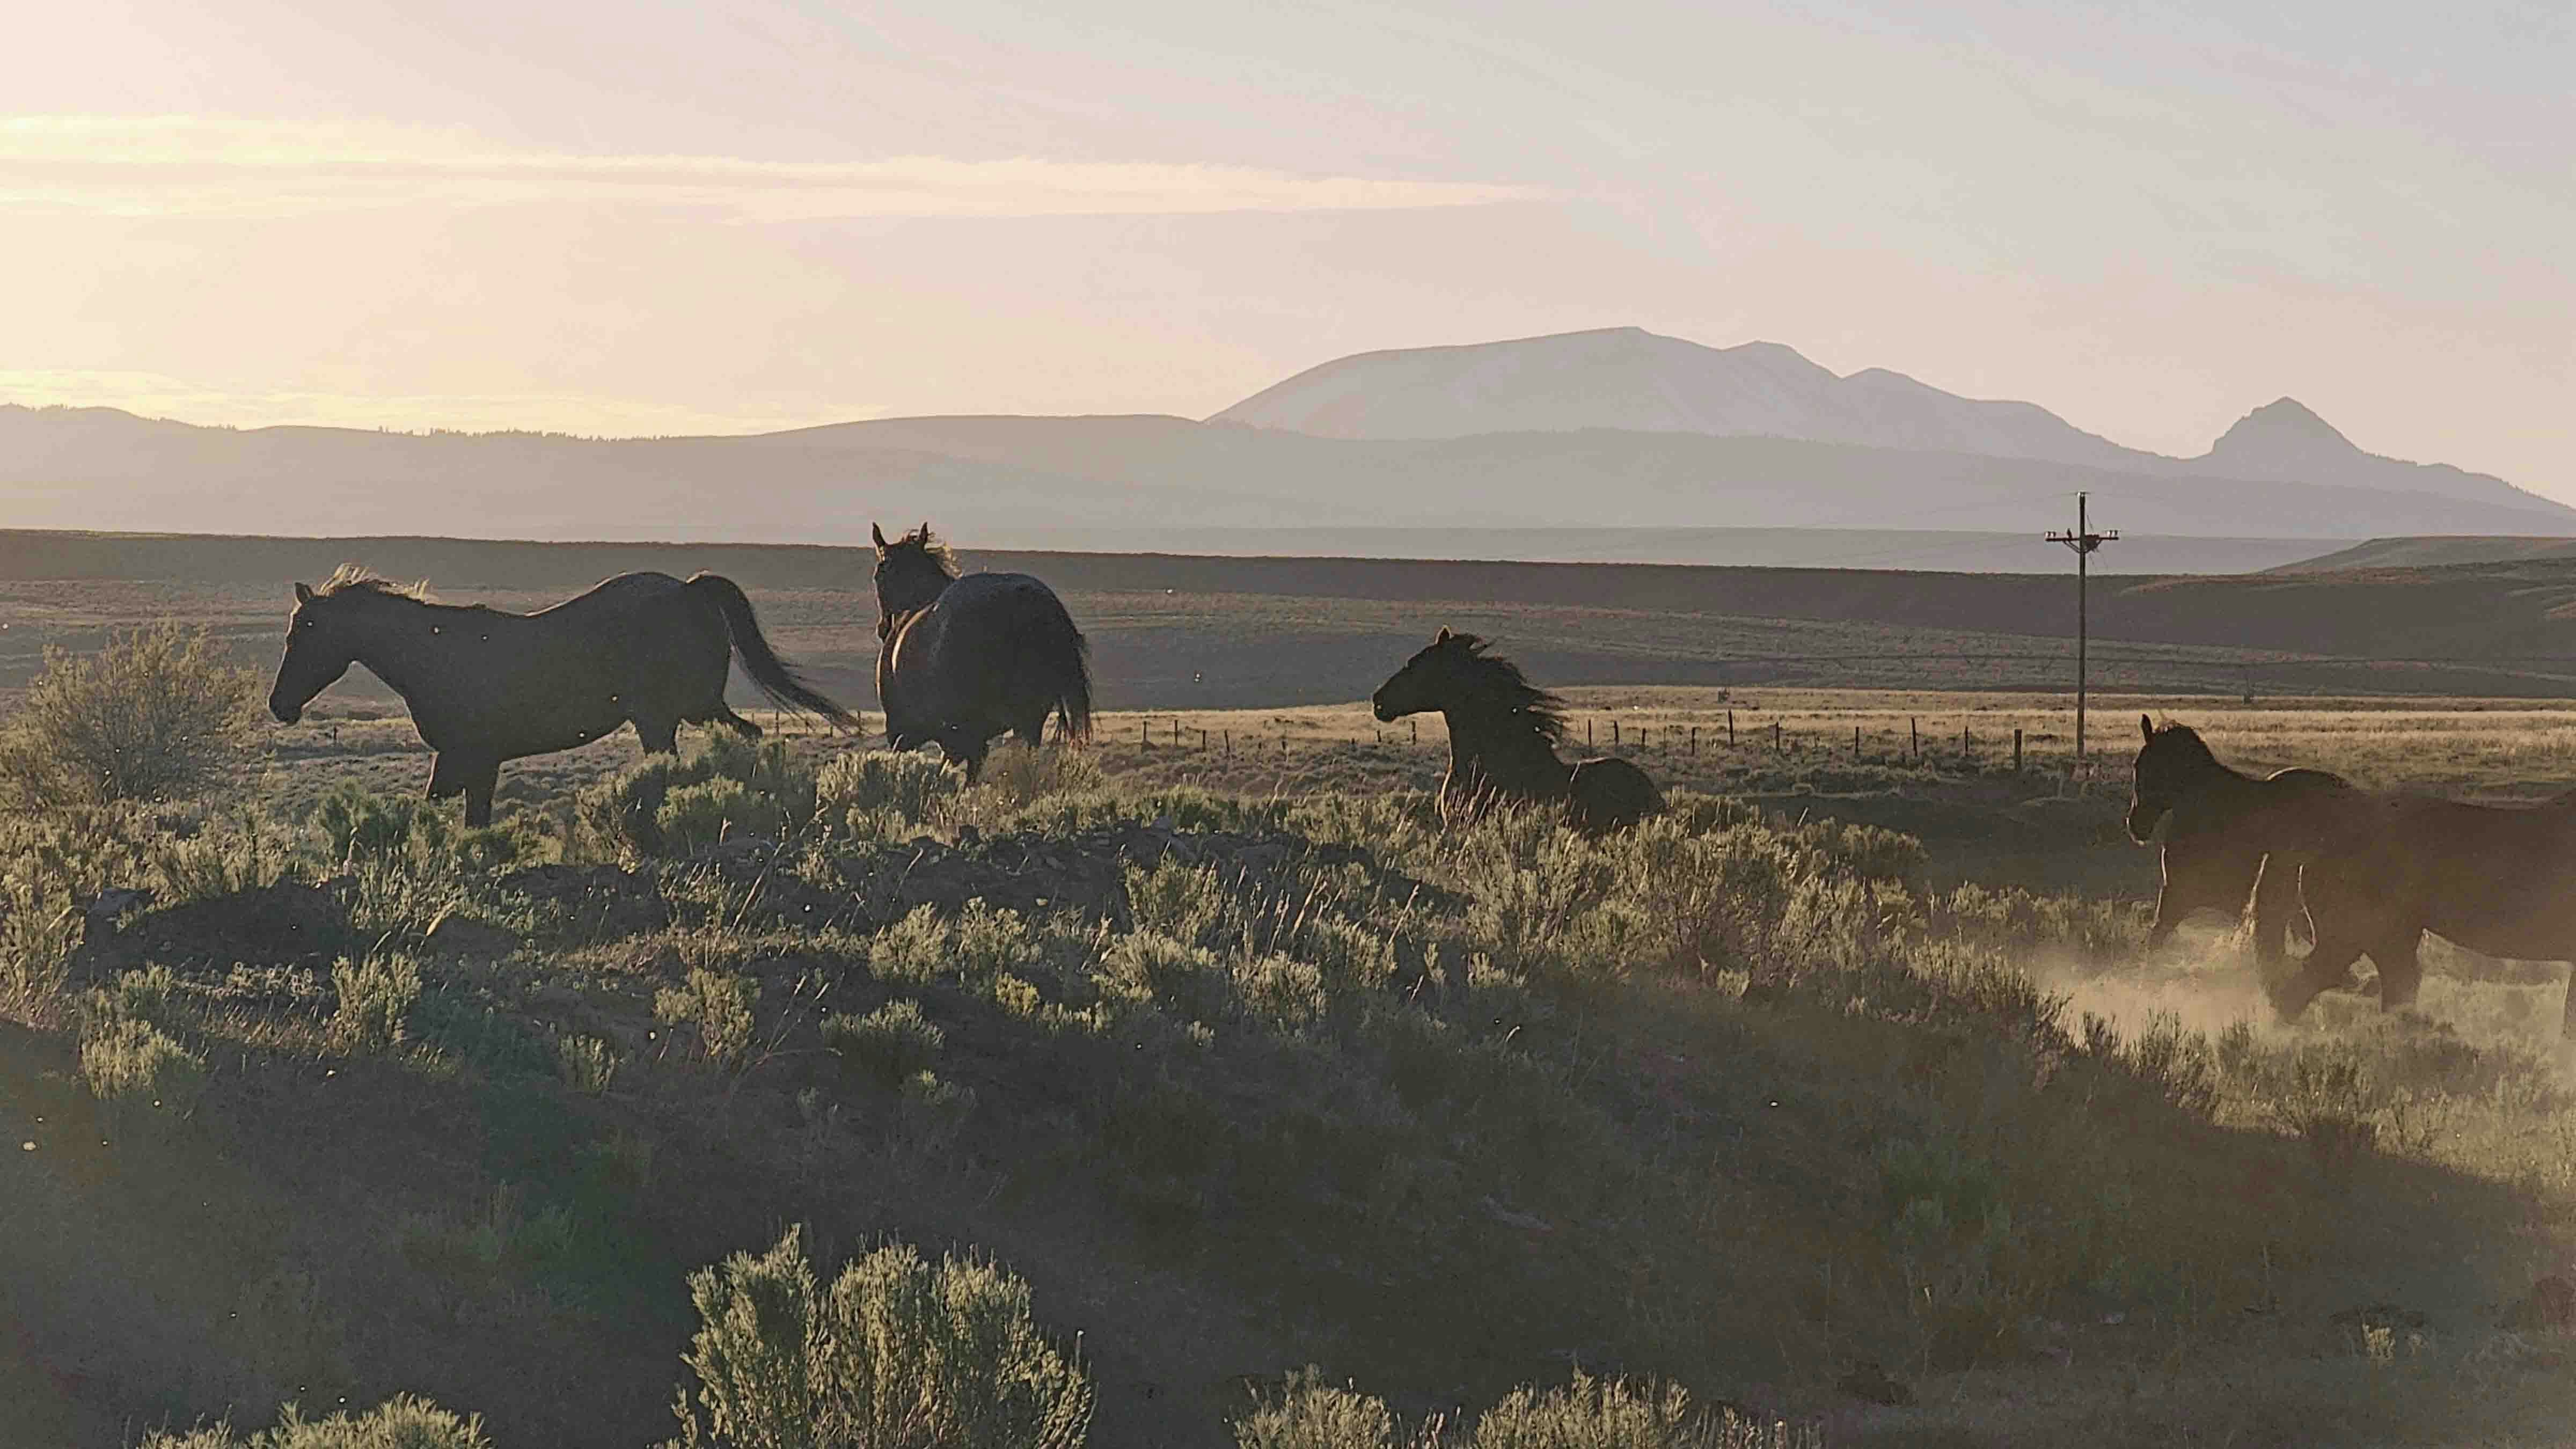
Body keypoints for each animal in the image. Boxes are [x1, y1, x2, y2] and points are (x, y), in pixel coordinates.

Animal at [272, 565, 860, 825]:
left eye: (303, 634)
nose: (280, 706)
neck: (437, 655)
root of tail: (691, 589)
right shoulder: (466, 762)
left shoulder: (474, 757)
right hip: (683, 713)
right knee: (742, 739)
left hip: (674, 714)